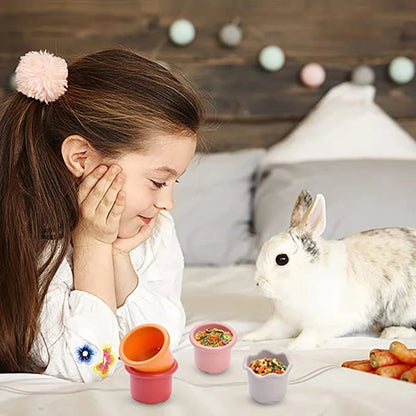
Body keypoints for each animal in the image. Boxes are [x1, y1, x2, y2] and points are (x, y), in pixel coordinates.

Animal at [244, 190, 416, 350]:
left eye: (282, 259)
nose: (258, 283)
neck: (307, 275)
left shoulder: (326, 323)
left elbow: (309, 335)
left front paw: (293, 347)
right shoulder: (284, 320)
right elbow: (268, 330)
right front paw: (248, 338)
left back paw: (393, 333)